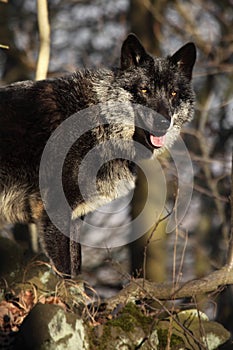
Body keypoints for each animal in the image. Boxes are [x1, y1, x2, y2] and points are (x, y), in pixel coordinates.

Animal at [0, 34, 196, 278]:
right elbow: (65, 270)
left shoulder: (76, 216)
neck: (99, 120)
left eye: (173, 93)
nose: (163, 123)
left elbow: (76, 268)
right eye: (144, 90)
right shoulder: (54, 209)